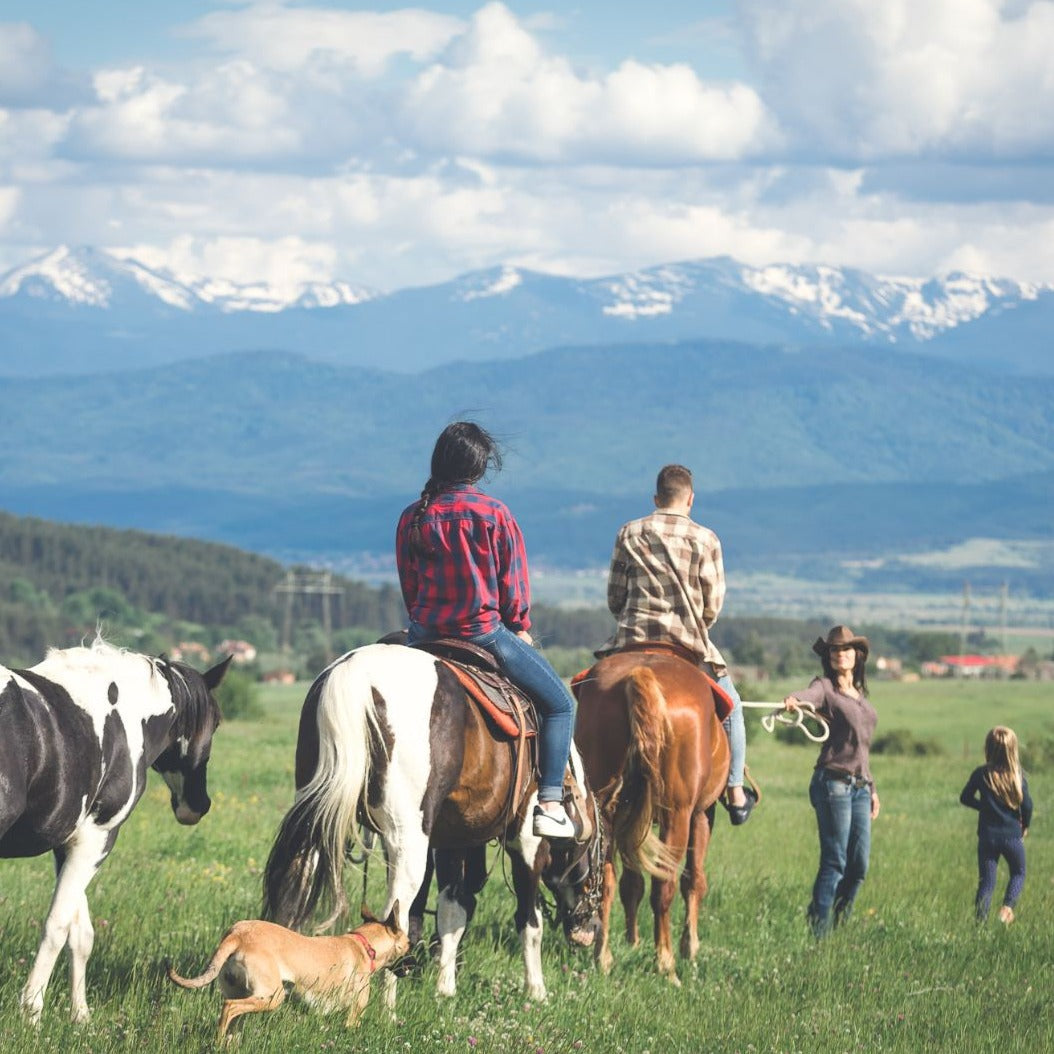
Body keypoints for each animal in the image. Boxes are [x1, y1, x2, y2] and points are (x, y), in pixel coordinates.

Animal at [0, 640, 228, 1020]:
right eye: (217, 721)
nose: (198, 806)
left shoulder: (70, 843)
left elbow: (80, 933)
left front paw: (80, 1016)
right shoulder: (99, 836)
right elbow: (57, 927)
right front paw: (32, 1010)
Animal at [167, 902, 406, 1041]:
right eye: (409, 944)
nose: (409, 968)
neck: (364, 945)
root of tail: (238, 933)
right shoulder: (354, 1014)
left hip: (242, 993)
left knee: (232, 1019)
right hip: (273, 996)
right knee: (229, 1008)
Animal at [261, 640, 602, 1003]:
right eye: (599, 852)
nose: (590, 930)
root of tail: (354, 674)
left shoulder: (452, 839)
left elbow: (452, 911)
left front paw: (445, 989)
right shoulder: (526, 841)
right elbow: (529, 919)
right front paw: (536, 990)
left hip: (313, 820)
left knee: (295, 882)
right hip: (406, 840)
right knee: (395, 915)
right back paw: (389, 1006)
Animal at [573, 645, 729, 982]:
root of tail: (639, 674)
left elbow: (631, 884)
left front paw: (631, 941)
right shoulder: (702, 815)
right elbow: (693, 879)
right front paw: (690, 947)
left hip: (607, 810)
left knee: (606, 881)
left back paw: (603, 957)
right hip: (677, 816)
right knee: (664, 885)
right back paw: (666, 964)